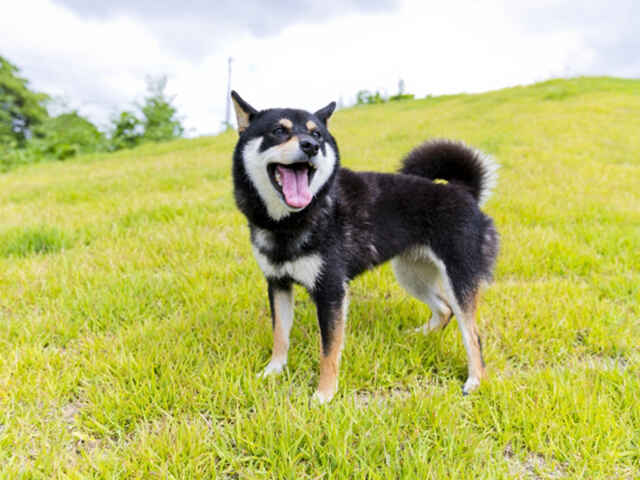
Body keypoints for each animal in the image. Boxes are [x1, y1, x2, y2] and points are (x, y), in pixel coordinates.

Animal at [230, 90, 500, 402]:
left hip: (458, 277)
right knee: (444, 310)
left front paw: (324, 395)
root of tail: (464, 191)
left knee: (472, 335)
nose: (311, 146)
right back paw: (417, 336)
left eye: (317, 134)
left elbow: (329, 351)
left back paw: (475, 381)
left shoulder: (331, 289)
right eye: (278, 131)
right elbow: (280, 336)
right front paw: (272, 372)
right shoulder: (278, 283)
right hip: (410, 274)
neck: (289, 222)